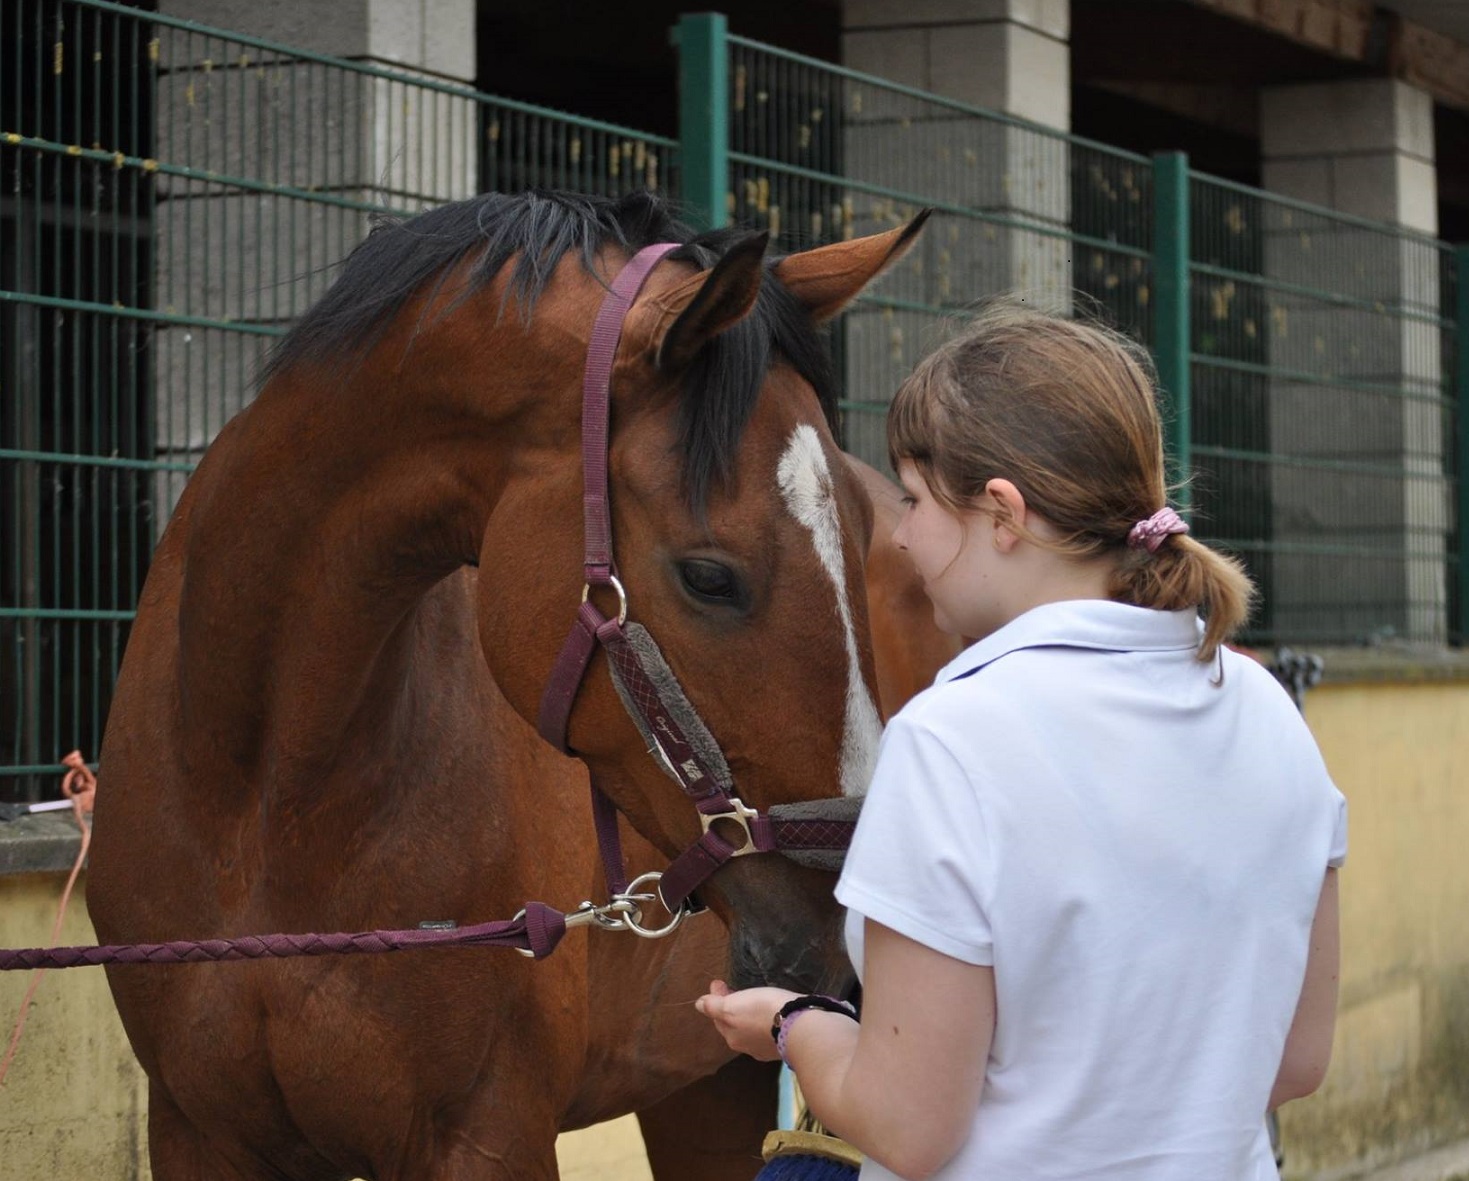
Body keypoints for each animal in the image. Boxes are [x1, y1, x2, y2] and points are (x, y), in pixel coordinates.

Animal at [85, 193, 922, 1181]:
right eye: (709, 577)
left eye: (864, 541)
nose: (849, 938)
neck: (264, 802)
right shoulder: (197, 1131)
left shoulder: (486, 1135)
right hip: (702, 1084)